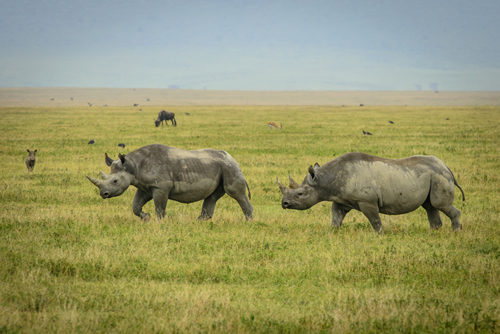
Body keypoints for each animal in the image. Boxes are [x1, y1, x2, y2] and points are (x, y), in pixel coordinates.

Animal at [84, 144, 254, 222]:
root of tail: (233, 159)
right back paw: (198, 222)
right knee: (212, 196)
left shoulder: (160, 187)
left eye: (115, 181)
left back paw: (248, 222)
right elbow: (135, 206)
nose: (103, 194)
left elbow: (160, 208)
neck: (133, 166)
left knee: (235, 193)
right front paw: (146, 217)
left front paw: (159, 223)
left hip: (229, 168)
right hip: (221, 167)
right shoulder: (145, 187)